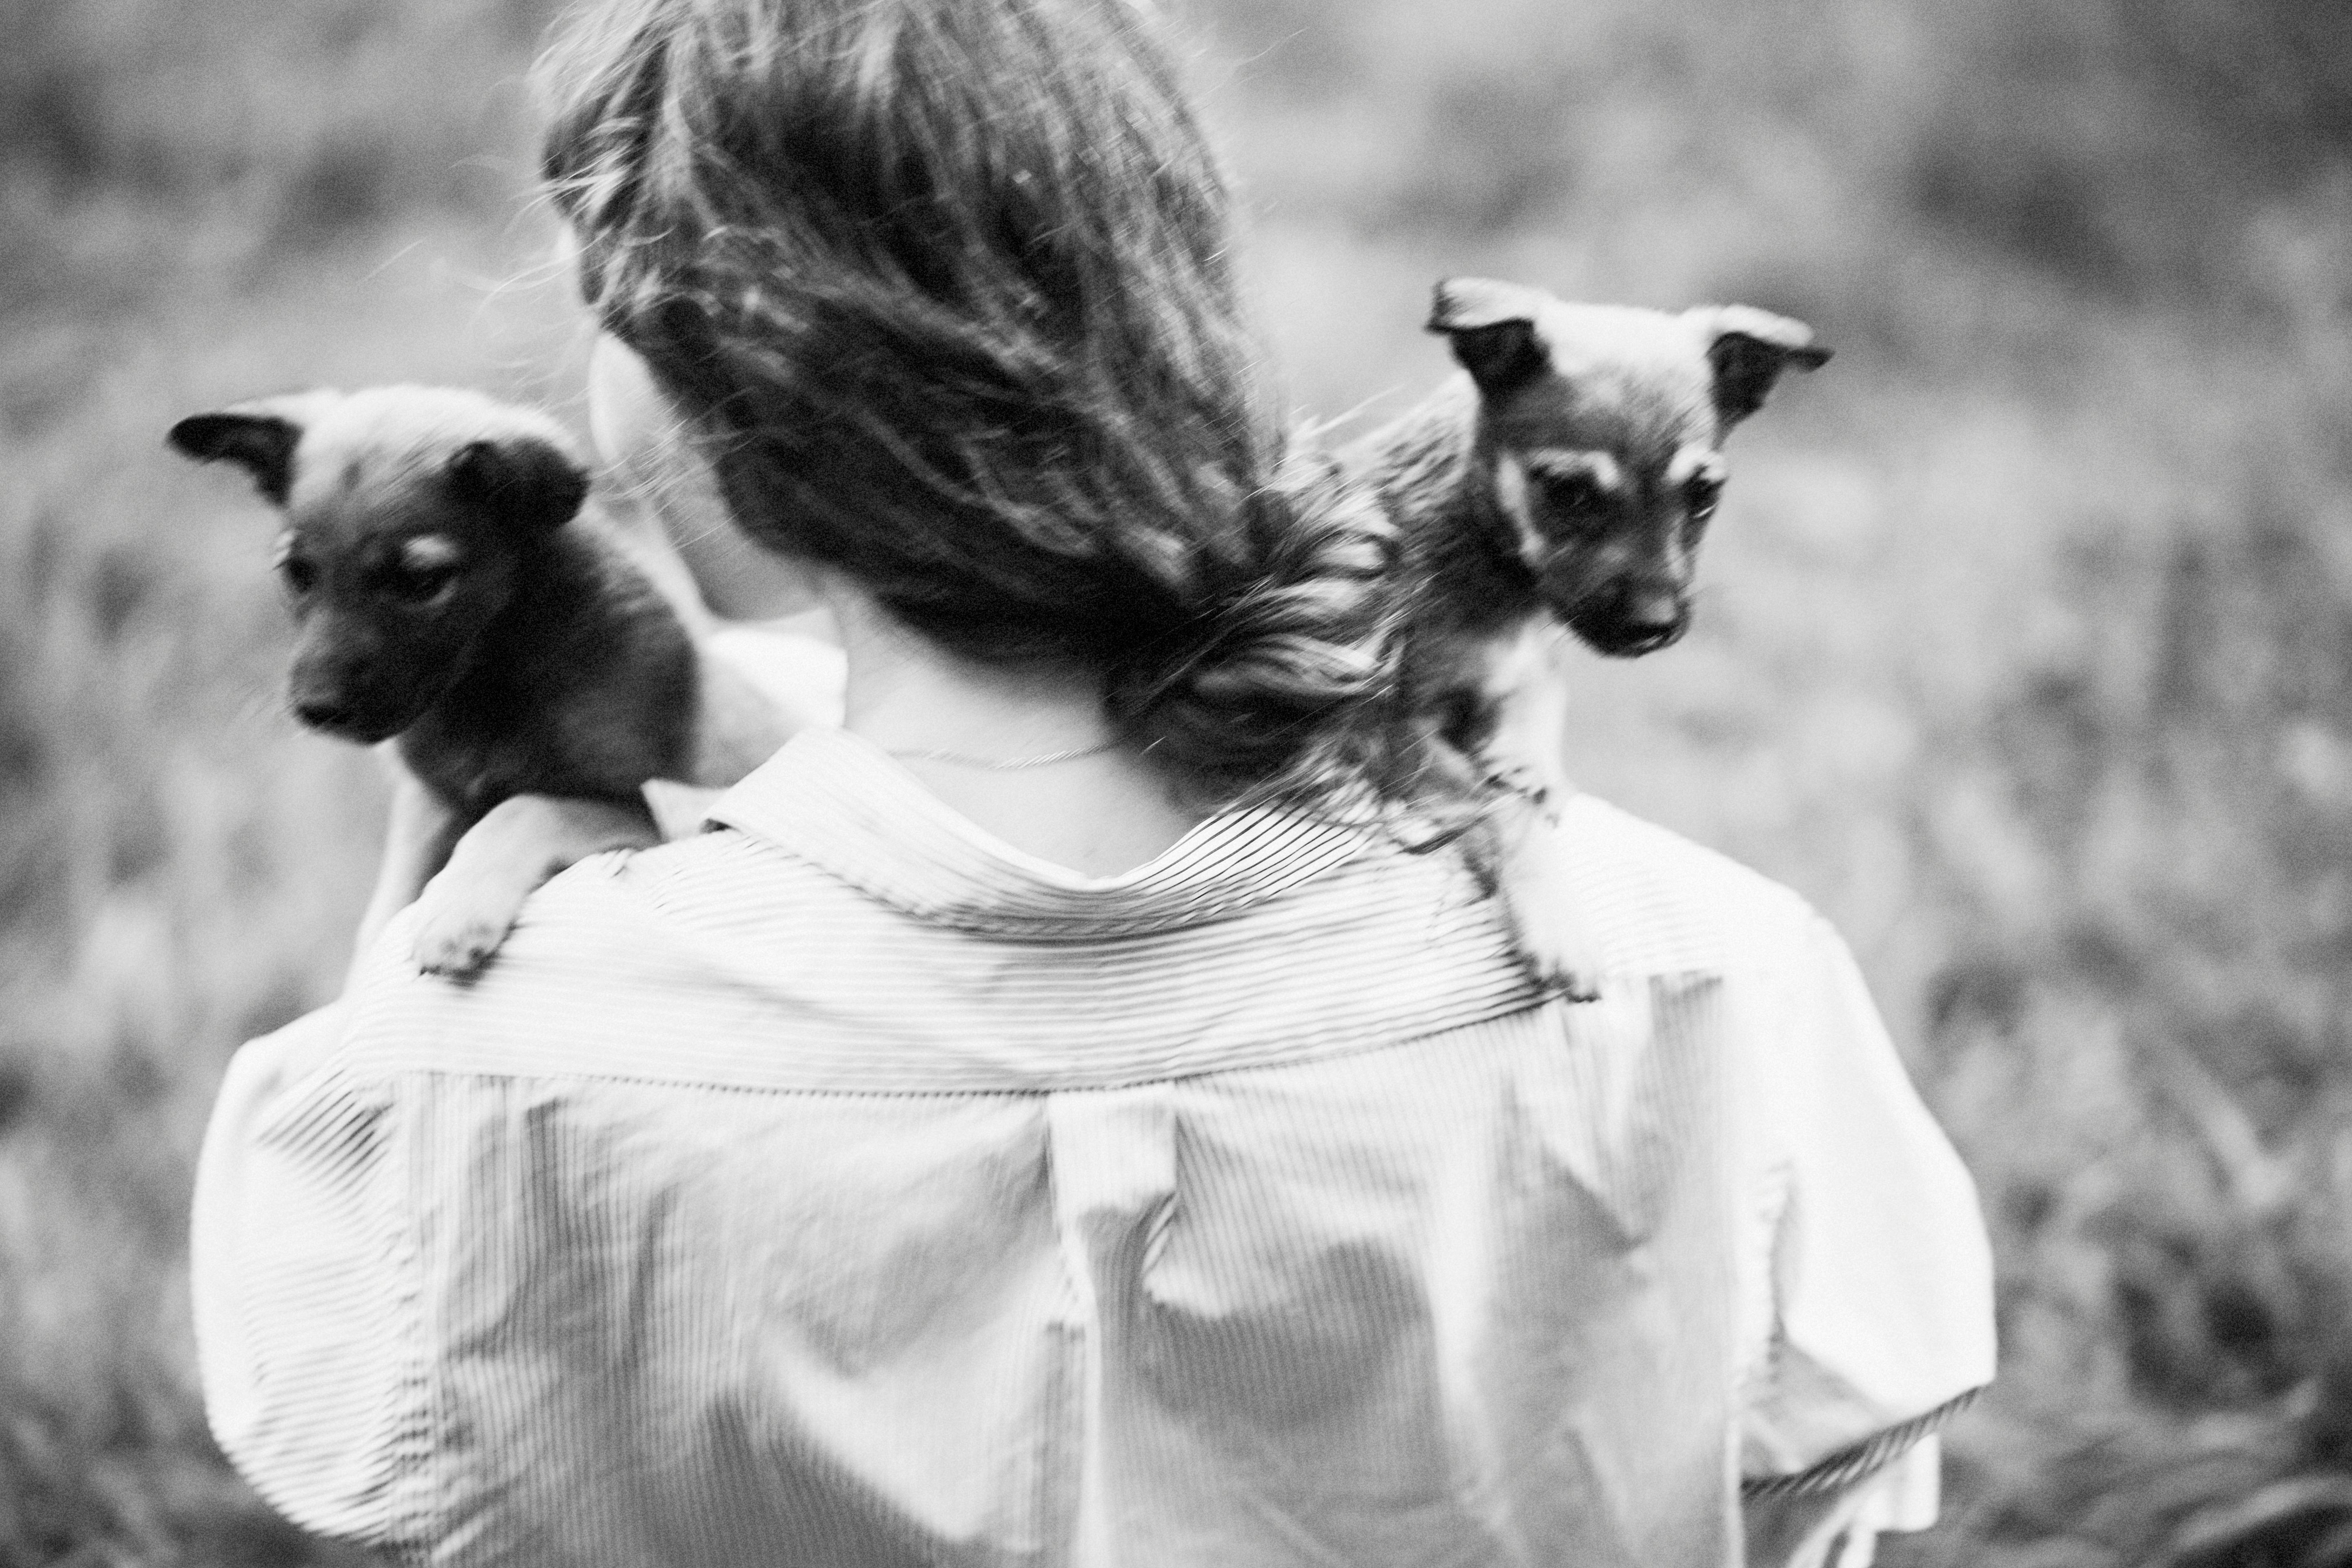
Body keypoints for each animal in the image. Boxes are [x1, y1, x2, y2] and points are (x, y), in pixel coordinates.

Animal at [1345, 277, 1834, 1001]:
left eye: (1704, 497)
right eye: (1568, 493)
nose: (1654, 626)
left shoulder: (1531, 670)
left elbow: (1534, 732)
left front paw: (1530, 766)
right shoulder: (1389, 726)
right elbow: (1498, 806)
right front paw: (1557, 921)